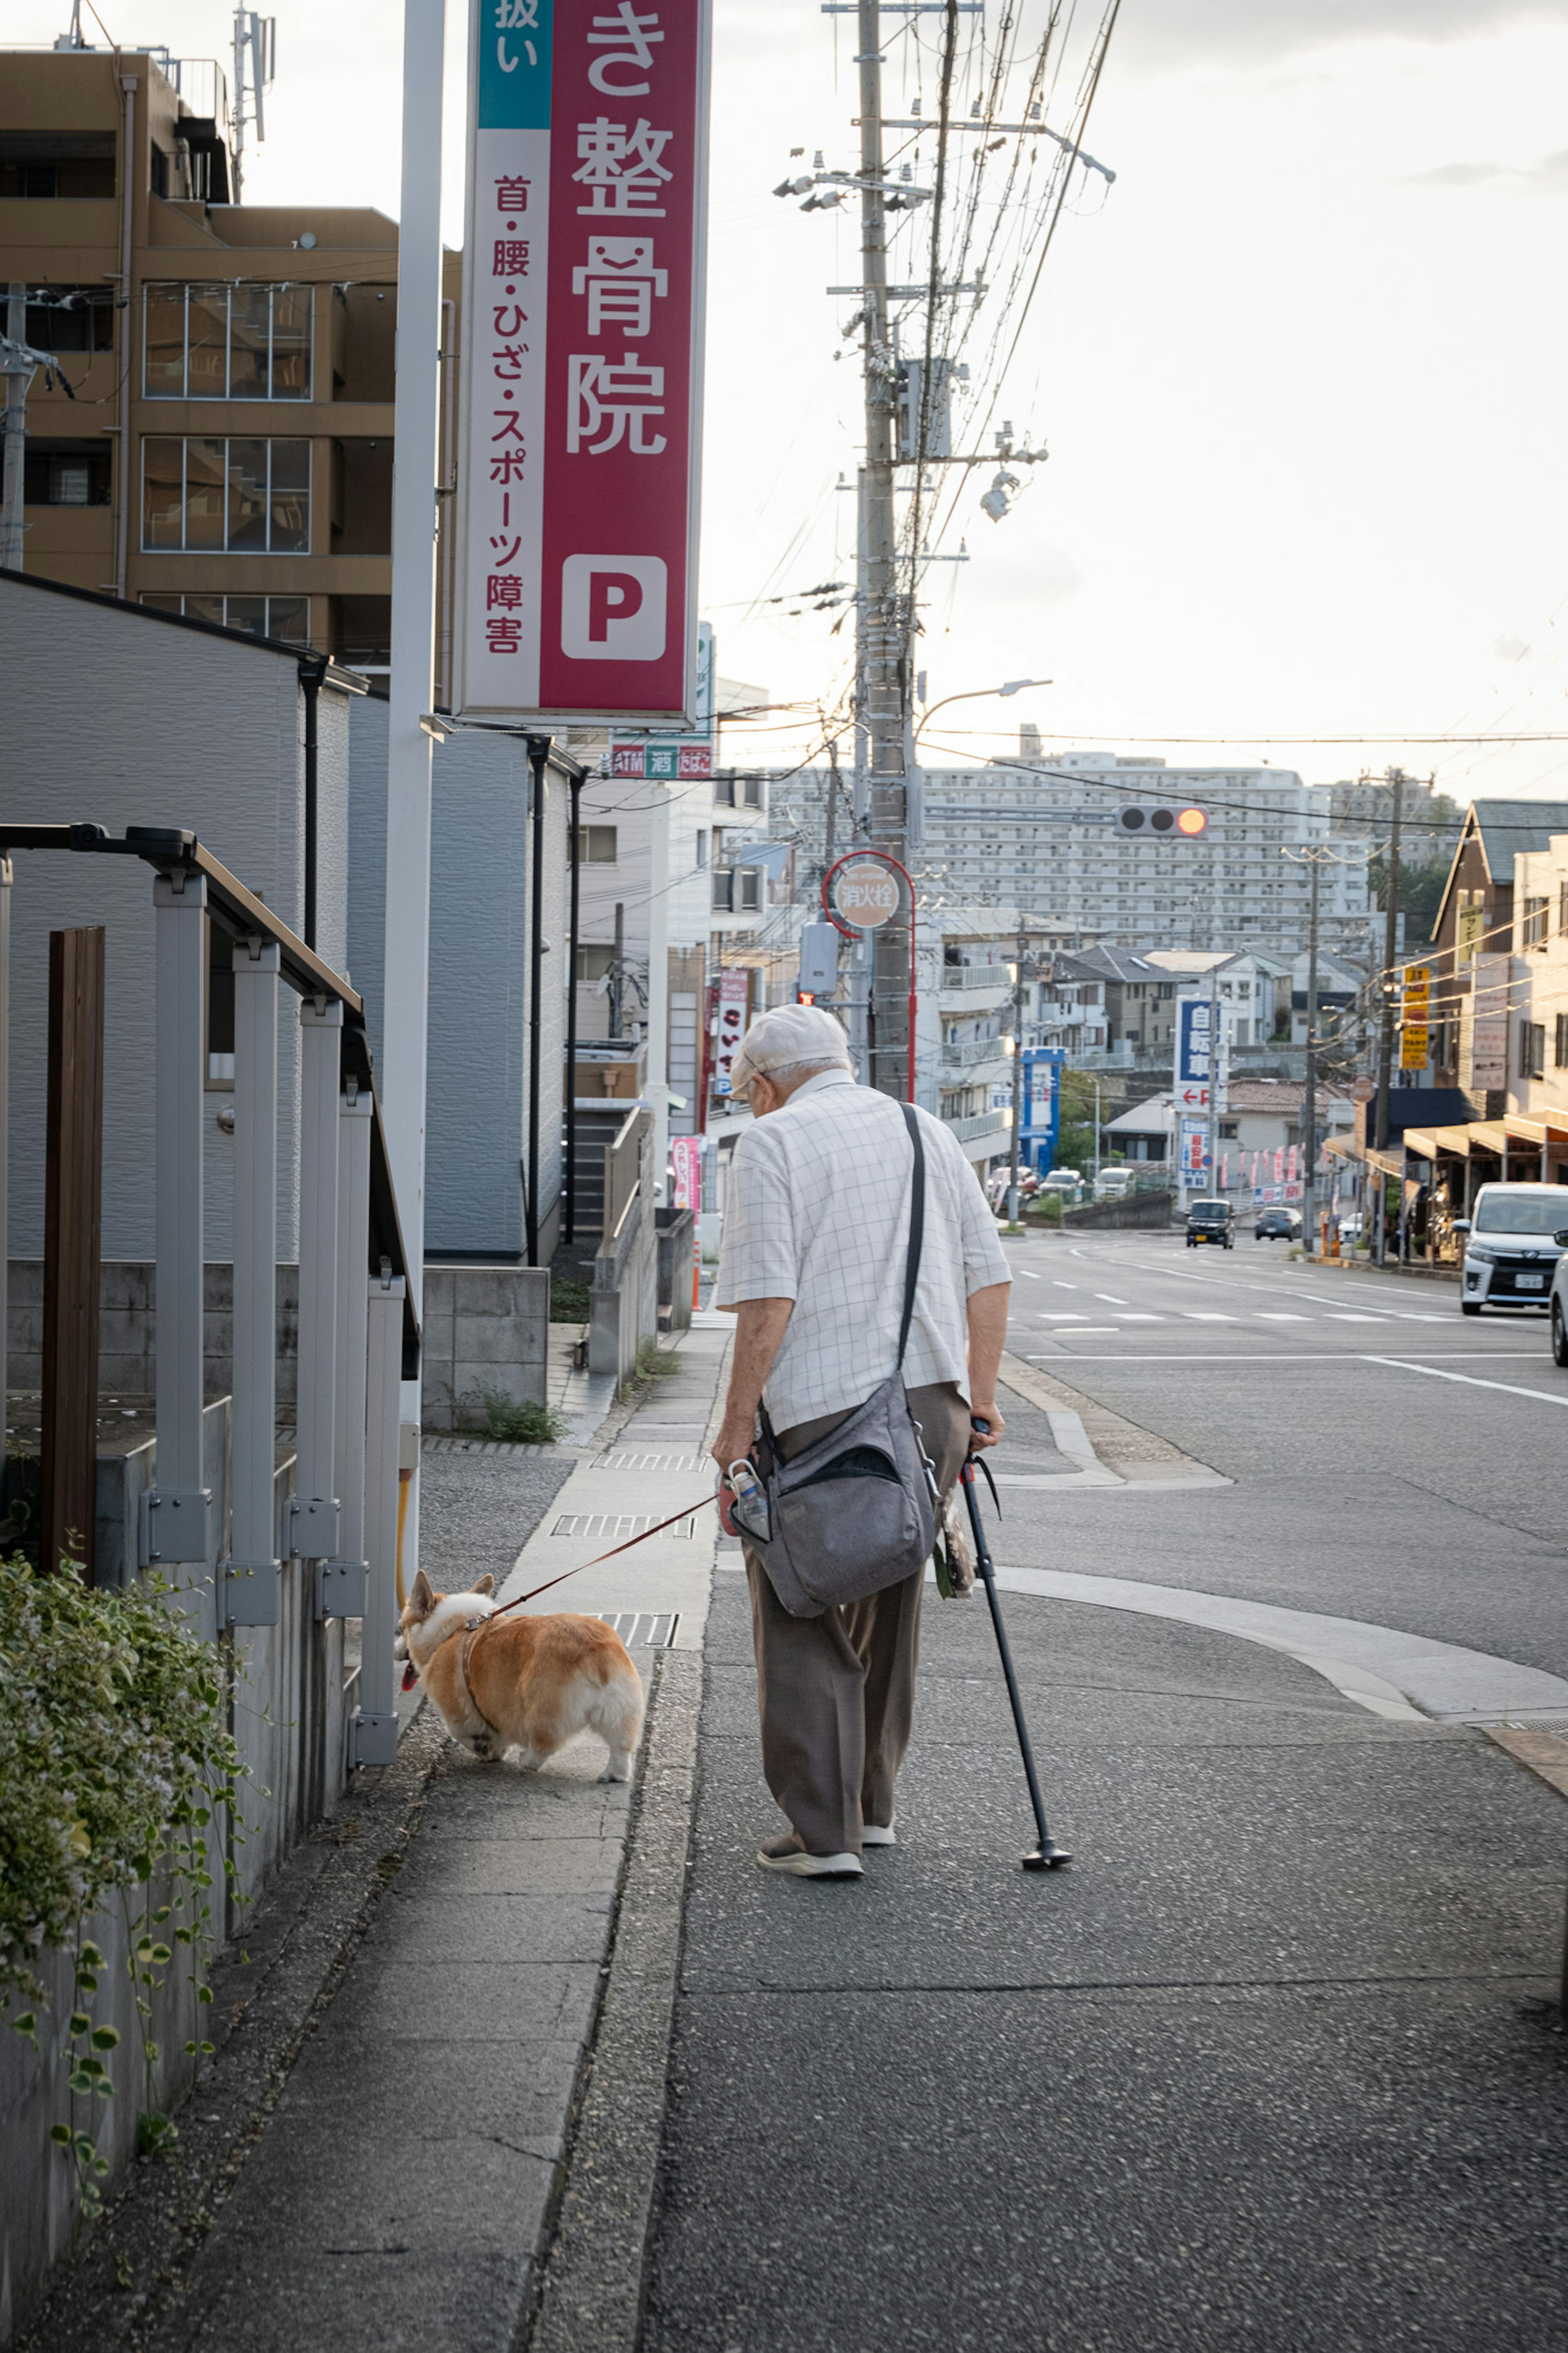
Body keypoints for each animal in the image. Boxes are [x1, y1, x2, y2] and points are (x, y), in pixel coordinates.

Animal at [399, 1572, 644, 1769]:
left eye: (401, 1629)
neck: (456, 1629)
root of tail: (593, 1651)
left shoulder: (461, 1715)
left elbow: (464, 1734)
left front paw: (487, 1751)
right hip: (621, 1709)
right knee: (622, 1748)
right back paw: (613, 1775)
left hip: (542, 1709)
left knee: (543, 1746)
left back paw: (527, 1760)